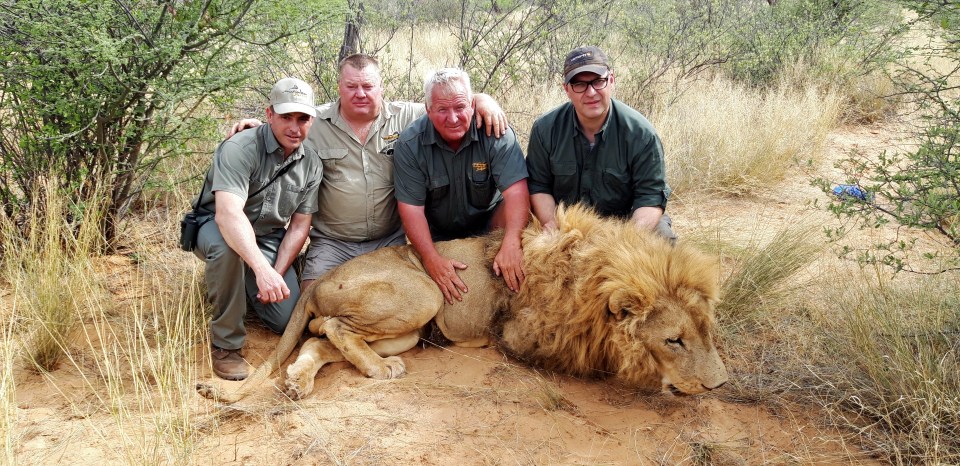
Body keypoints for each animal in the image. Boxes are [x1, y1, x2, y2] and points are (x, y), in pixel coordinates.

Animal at [199, 206, 732, 402]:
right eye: (674, 340)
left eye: (708, 333)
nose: (720, 385)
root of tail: (321, 278)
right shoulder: (522, 339)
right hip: (426, 292)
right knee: (333, 326)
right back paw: (375, 372)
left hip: (407, 332)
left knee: (318, 339)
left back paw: (298, 380)